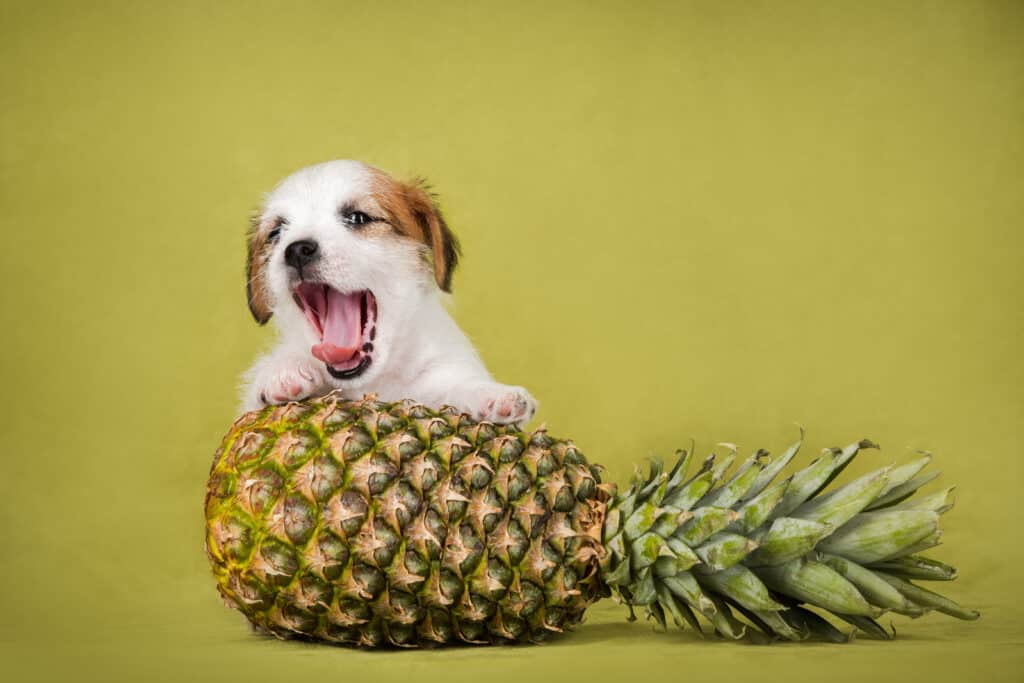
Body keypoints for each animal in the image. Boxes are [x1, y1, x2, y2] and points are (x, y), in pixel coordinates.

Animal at [240, 160, 540, 428]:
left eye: (358, 217)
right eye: (276, 232)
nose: (297, 250)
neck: (375, 382)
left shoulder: (443, 371)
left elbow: (457, 385)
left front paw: (493, 395)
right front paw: (282, 371)